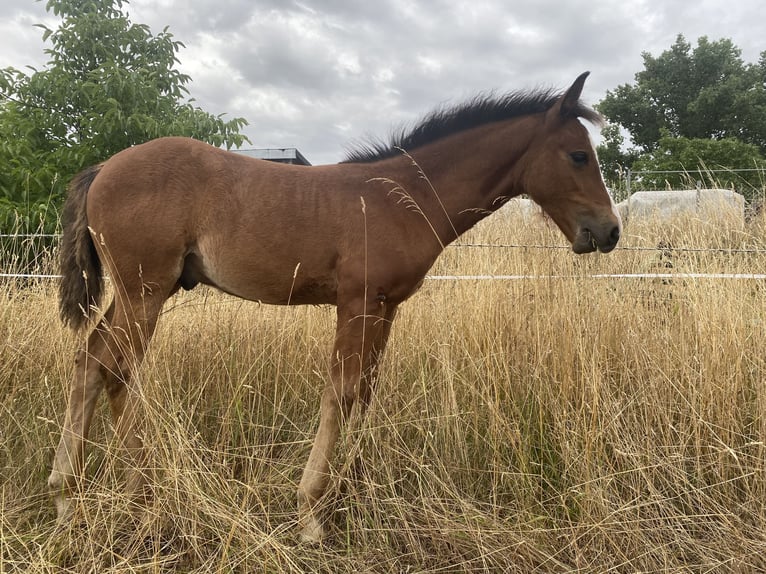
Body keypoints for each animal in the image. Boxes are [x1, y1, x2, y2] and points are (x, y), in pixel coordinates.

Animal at [49, 73, 624, 544]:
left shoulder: (385, 307)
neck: (403, 197)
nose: (609, 231)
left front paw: (354, 493)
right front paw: (311, 514)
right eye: (578, 155)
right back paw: (124, 494)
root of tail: (103, 168)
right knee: (113, 365)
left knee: (93, 360)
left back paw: (77, 496)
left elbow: (365, 392)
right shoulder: (357, 302)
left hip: (141, 293)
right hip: (143, 291)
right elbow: (341, 393)